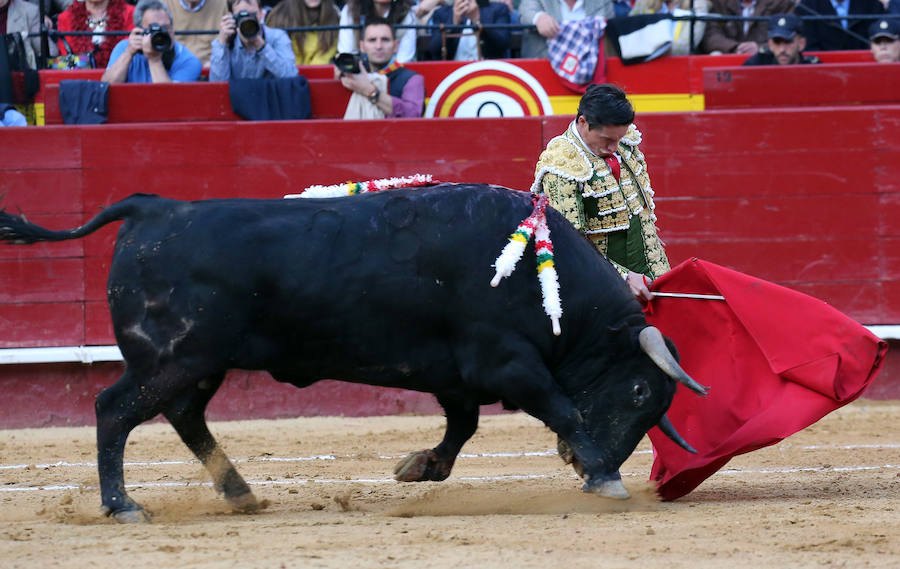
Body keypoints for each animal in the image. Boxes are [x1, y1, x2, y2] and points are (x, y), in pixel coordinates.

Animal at [0, 184, 704, 520]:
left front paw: (418, 467)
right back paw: (124, 506)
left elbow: (462, 428)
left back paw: (239, 492)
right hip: (171, 359)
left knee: (183, 417)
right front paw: (605, 476)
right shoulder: (505, 363)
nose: (583, 467)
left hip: (198, 365)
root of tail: (151, 209)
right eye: (639, 391)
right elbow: (561, 406)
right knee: (113, 410)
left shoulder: (456, 374)